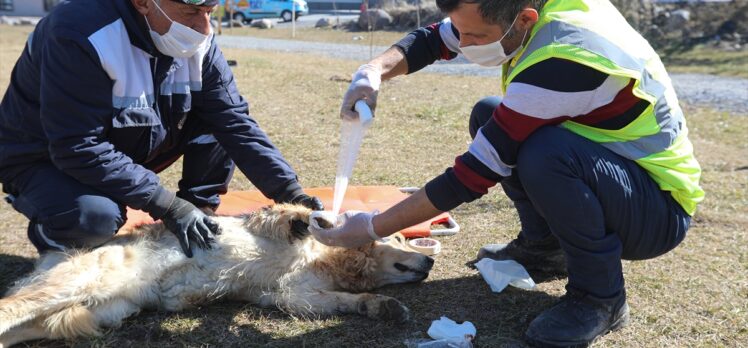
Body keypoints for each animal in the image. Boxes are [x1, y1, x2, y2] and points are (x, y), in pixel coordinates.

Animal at [0, 204, 432, 346]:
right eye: (399, 236)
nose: (429, 263)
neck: (326, 259)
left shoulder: (296, 296)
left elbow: (348, 301)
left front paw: (383, 306)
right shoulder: (266, 224)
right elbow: (289, 213)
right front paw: (314, 217)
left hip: (101, 309)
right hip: (79, 284)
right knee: (9, 307)